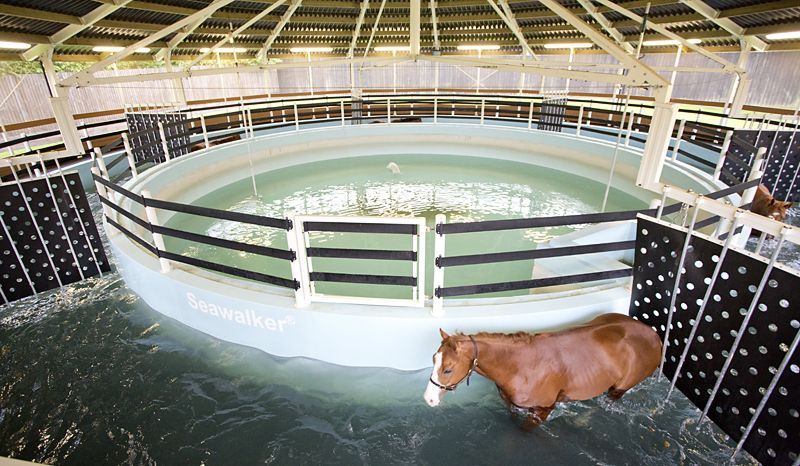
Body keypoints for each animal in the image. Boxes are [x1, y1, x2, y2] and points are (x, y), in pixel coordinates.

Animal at [423, 313, 662, 429]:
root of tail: (654, 335)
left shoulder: (542, 411)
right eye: (433, 359)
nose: (428, 399)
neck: (520, 366)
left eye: (448, 369)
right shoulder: (512, 404)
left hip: (619, 388)